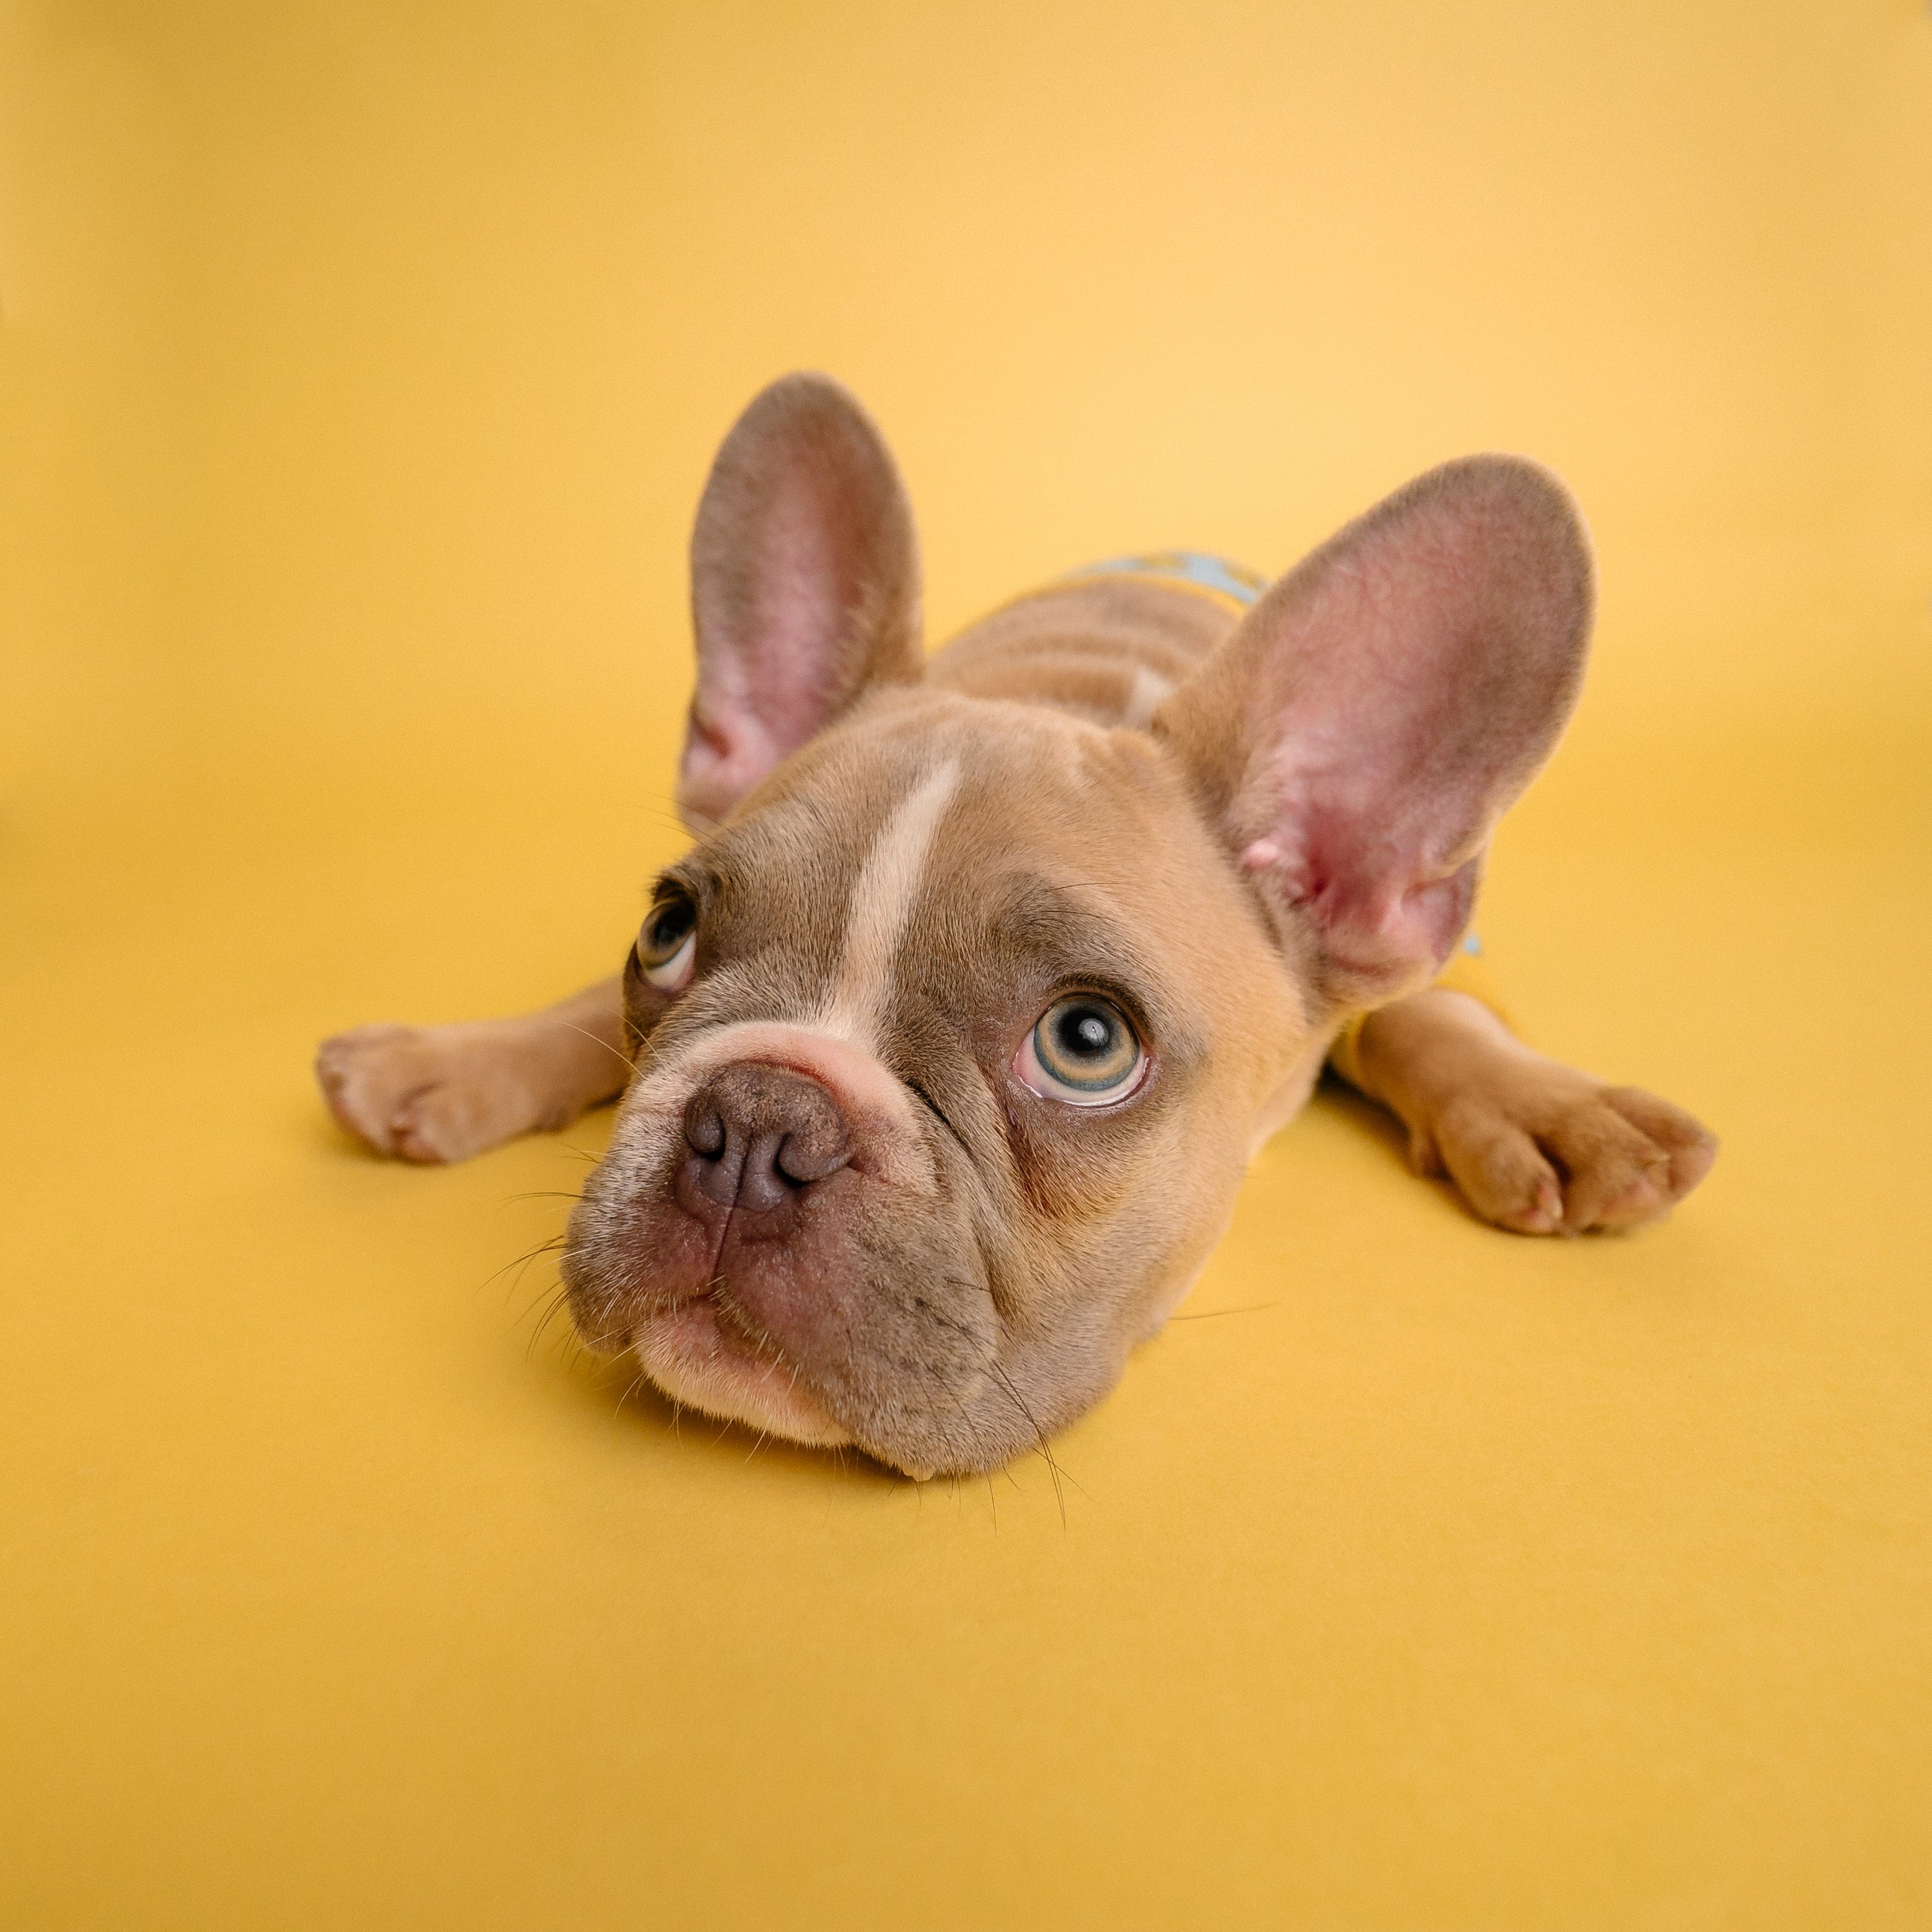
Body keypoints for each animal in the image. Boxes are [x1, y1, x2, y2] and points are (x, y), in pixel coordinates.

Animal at [317, 372, 1723, 1476]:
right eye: (667, 932)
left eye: (1086, 1043)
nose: (756, 1120)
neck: (1073, 690)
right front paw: (454, 1060)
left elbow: (1423, 1016)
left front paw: (1542, 1106)